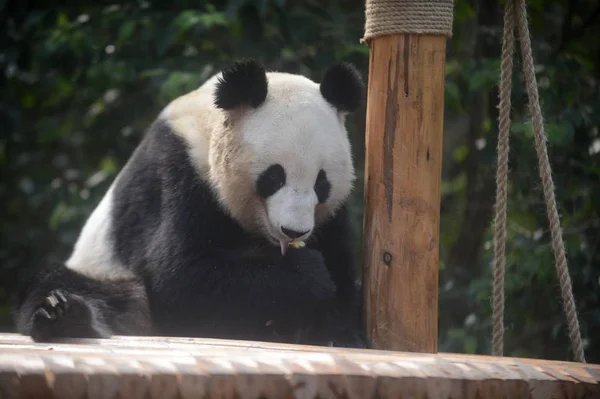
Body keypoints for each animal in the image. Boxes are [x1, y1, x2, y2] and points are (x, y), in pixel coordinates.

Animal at [14, 57, 368, 348]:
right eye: (274, 177)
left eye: (321, 182)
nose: (294, 231)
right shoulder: (178, 175)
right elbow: (181, 278)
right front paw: (307, 272)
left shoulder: (331, 216)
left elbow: (340, 268)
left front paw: (340, 332)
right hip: (105, 270)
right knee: (68, 286)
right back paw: (62, 316)